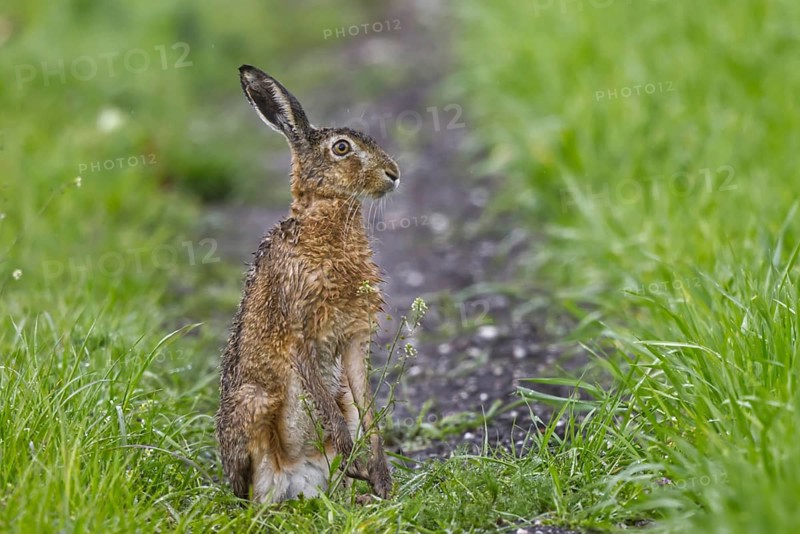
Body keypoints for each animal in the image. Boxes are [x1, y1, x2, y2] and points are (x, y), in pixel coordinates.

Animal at [216, 65, 399, 503]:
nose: (394, 174)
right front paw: (359, 462)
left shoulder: (353, 339)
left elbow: (369, 410)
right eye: (342, 148)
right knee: (258, 495)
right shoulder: (299, 332)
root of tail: (298, 482)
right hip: (253, 405)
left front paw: (381, 478)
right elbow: (325, 405)